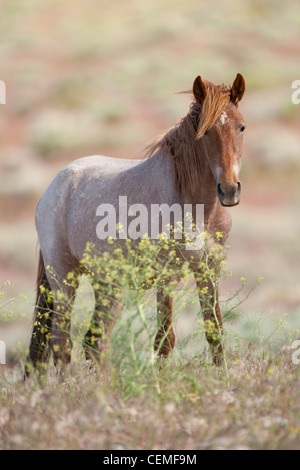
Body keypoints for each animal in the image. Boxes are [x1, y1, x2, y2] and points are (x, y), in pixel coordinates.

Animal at [25, 73, 246, 378]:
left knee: (95, 341)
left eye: (241, 127)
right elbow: (164, 339)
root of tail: (54, 186)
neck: (197, 207)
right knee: (61, 342)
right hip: (63, 279)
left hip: (107, 285)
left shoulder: (209, 270)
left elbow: (215, 333)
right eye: (205, 132)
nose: (229, 190)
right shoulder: (167, 276)